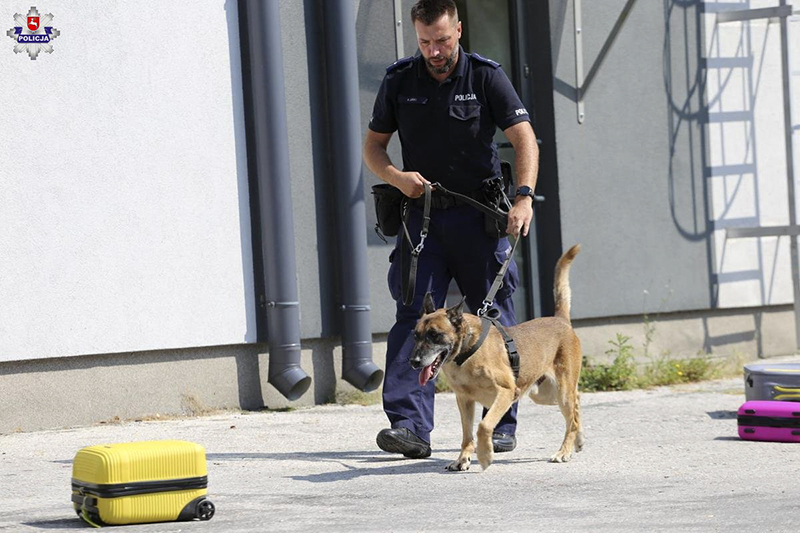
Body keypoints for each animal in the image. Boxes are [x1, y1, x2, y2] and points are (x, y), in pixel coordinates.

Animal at [410, 242, 584, 470]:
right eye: (416, 335)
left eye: (434, 335)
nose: (413, 362)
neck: (467, 351)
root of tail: (560, 320)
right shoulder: (464, 401)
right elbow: (467, 435)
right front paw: (462, 459)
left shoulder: (506, 393)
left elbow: (484, 425)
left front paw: (485, 455)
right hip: (544, 394)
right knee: (576, 406)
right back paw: (578, 440)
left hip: (560, 393)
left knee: (571, 417)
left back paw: (564, 451)